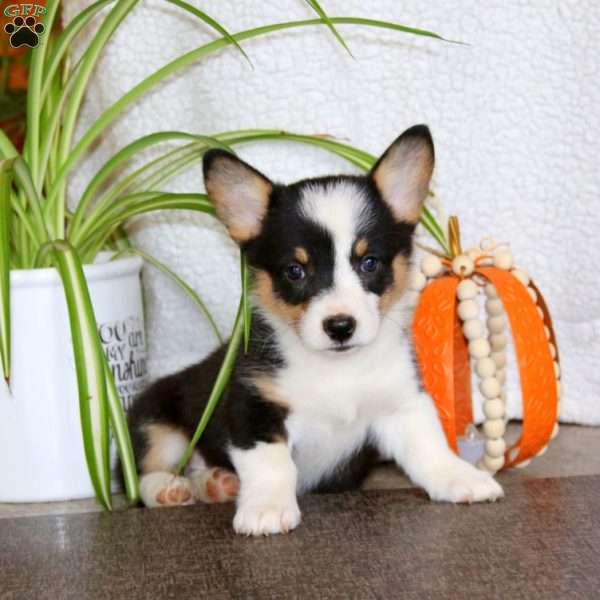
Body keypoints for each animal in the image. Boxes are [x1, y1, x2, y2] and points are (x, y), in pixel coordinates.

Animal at [125, 125, 502, 536]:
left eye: (369, 262)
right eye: (295, 271)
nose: (340, 326)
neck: (336, 369)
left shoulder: (401, 404)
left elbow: (430, 448)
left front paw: (461, 477)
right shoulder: (253, 408)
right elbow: (271, 464)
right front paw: (267, 508)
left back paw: (215, 483)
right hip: (154, 422)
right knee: (142, 475)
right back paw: (172, 489)